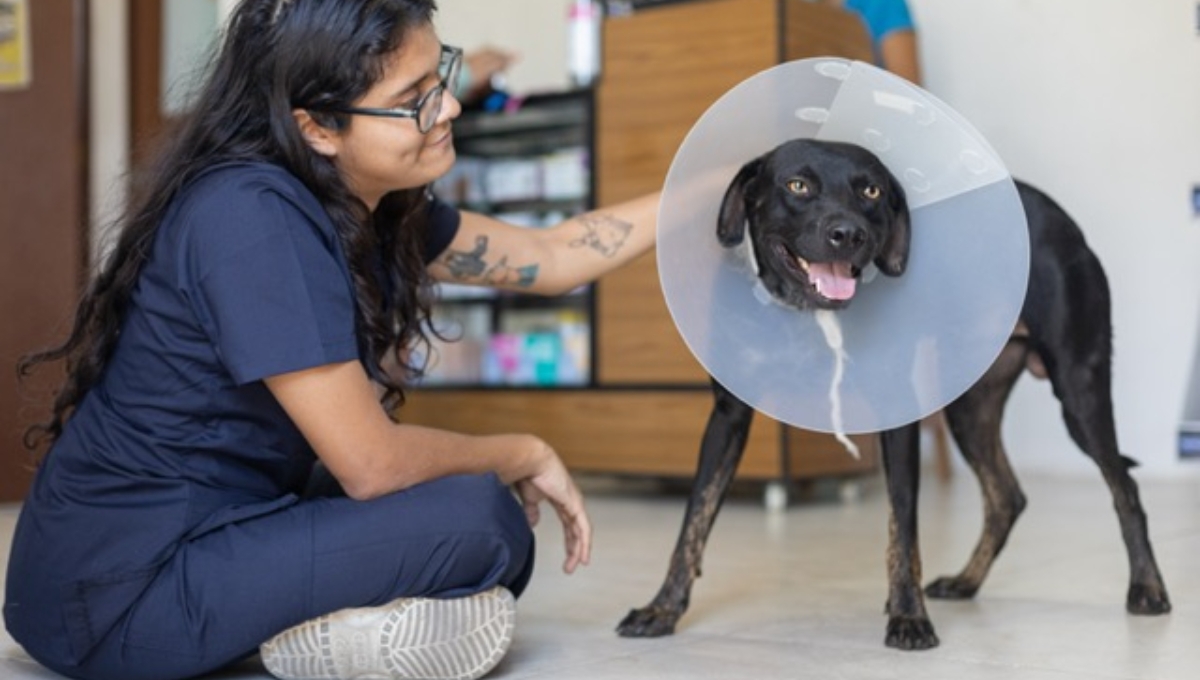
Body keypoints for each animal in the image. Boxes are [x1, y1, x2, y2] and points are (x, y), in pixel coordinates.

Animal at [619, 137, 1171, 647]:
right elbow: (694, 519)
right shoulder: (727, 418)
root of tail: (1062, 219)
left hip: (1078, 390)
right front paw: (662, 608)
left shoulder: (898, 422)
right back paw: (967, 581)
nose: (848, 234)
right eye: (797, 185)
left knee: (1124, 487)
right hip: (971, 407)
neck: (810, 314)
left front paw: (908, 616)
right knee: (1006, 496)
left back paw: (1147, 588)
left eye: (871, 191)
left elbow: (902, 528)